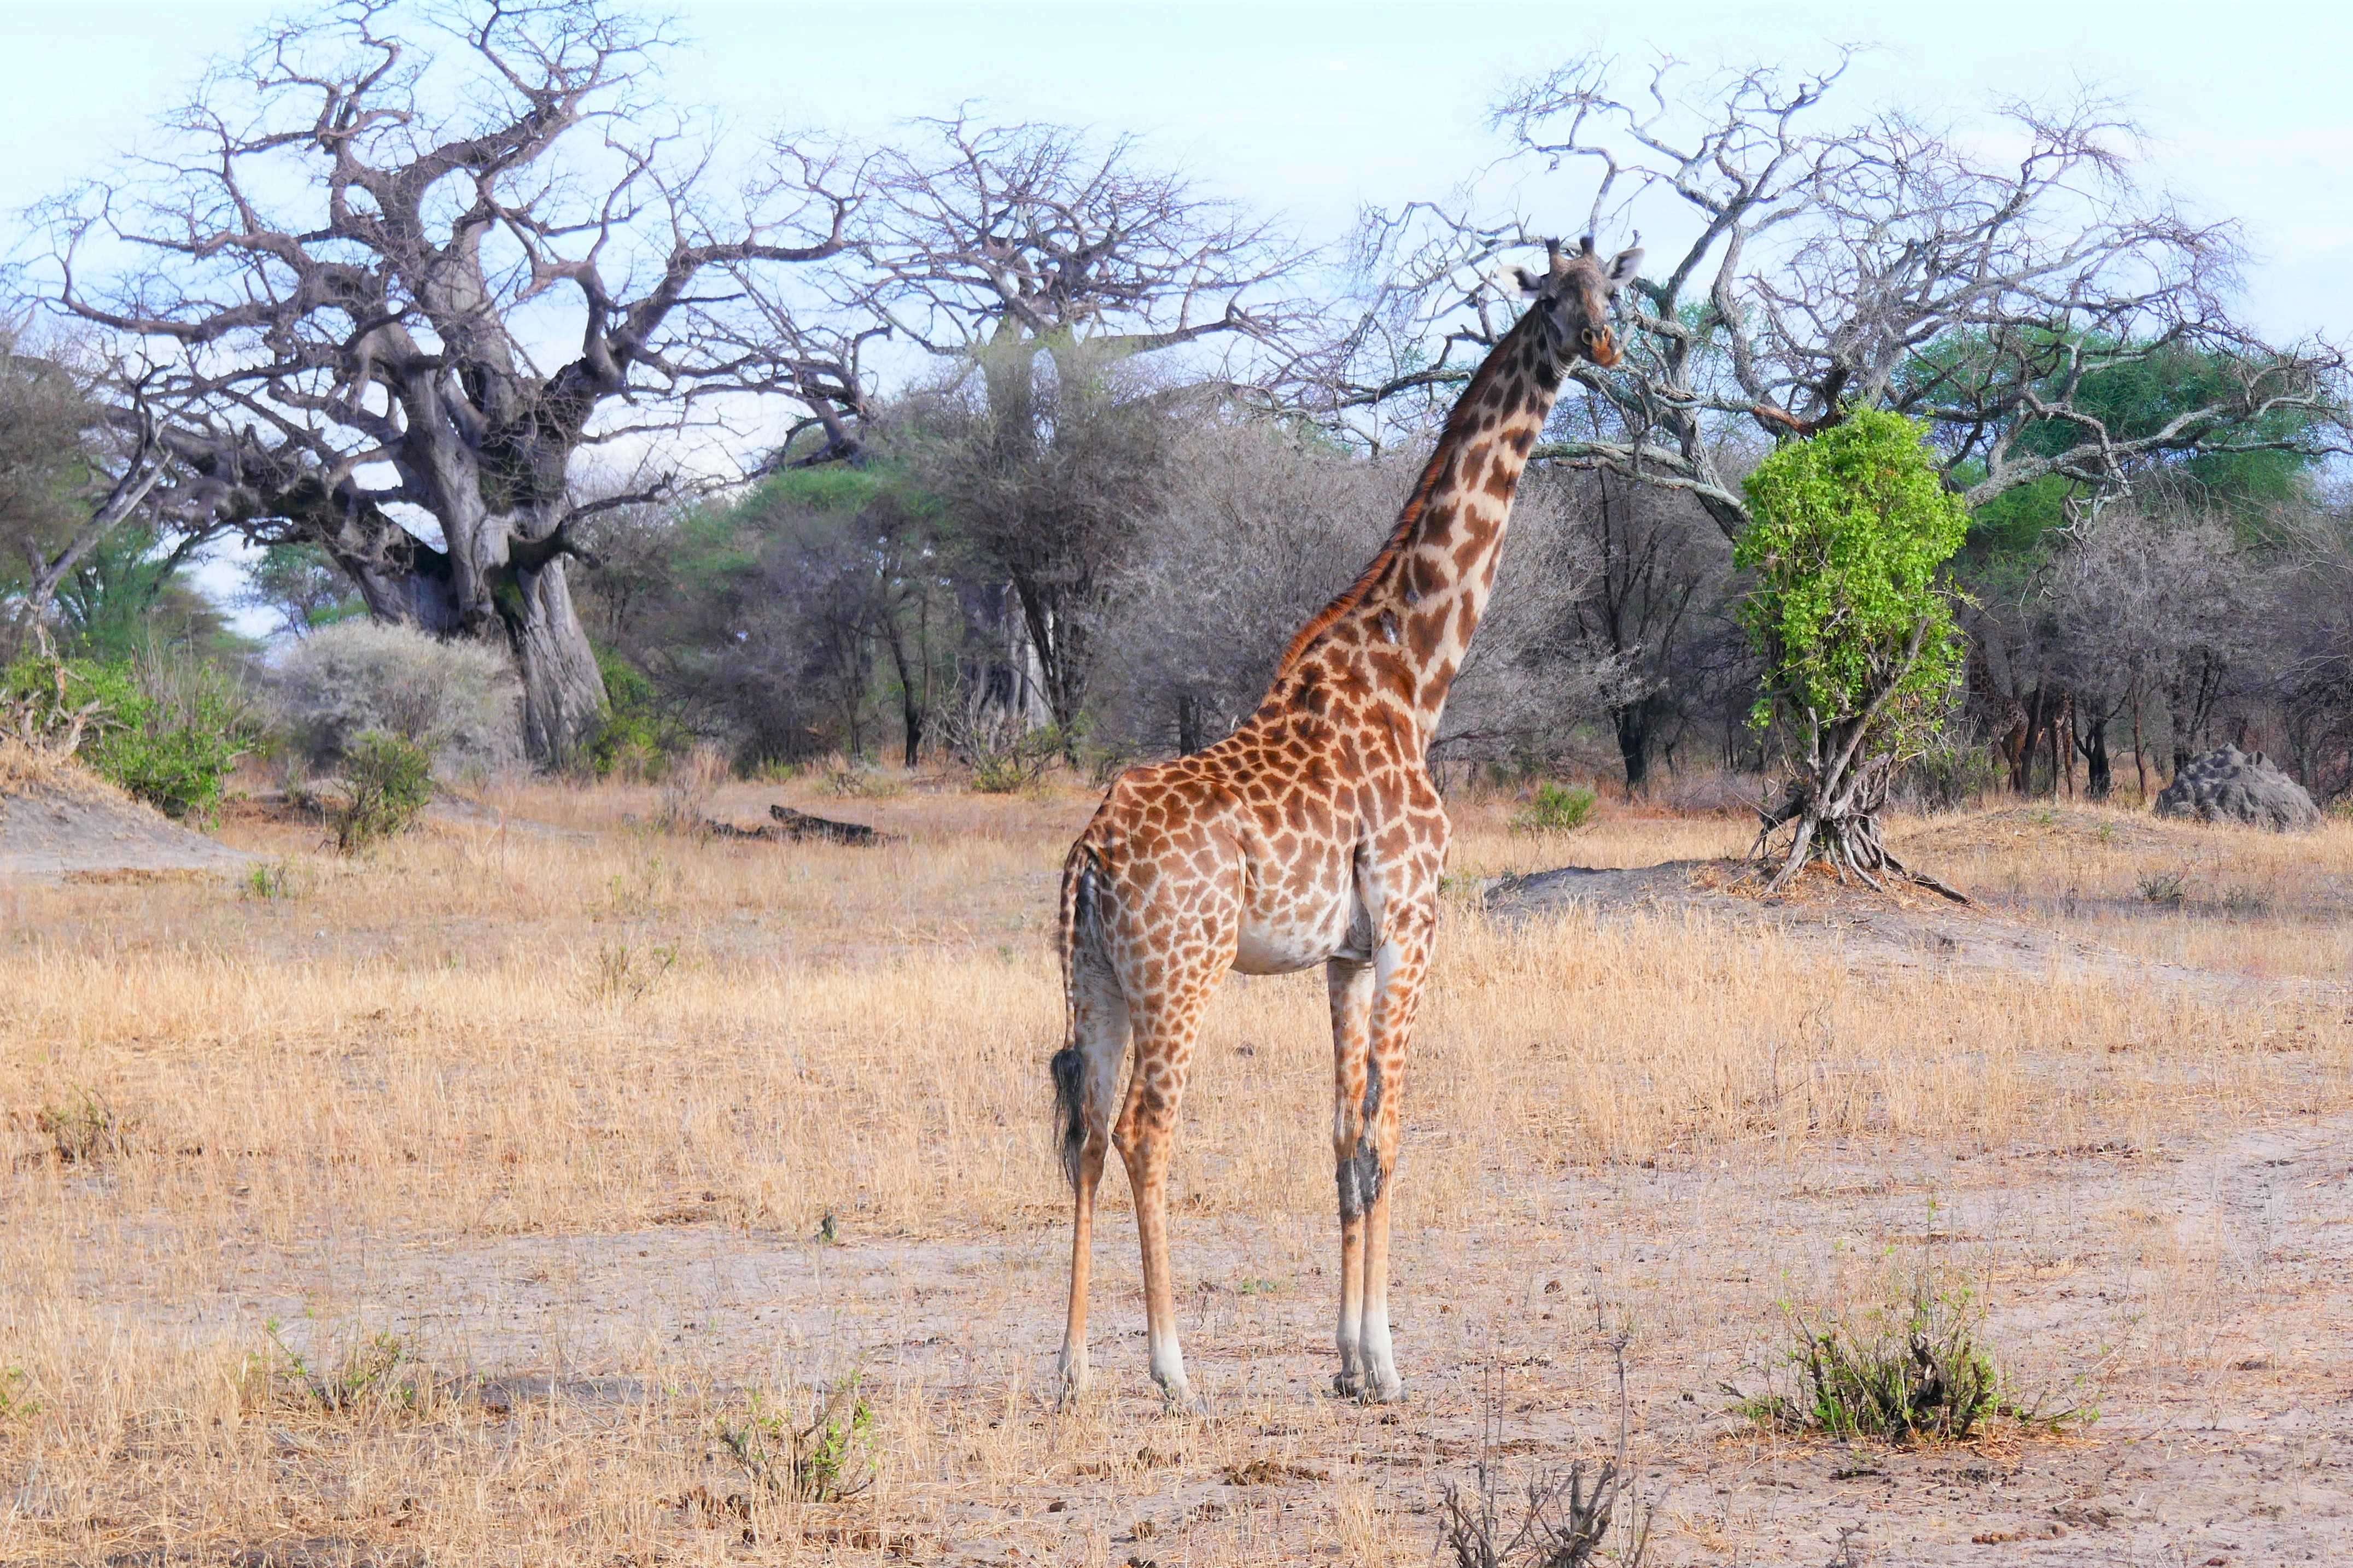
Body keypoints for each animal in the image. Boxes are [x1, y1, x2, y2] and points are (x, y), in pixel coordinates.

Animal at [1049, 232, 1637, 1410]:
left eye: (1617, 290)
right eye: (1556, 294)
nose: (1604, 345)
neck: (1416, 681)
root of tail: (1091, 850)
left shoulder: (1346, 953)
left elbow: (1340, 1141)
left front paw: (1347, 1361)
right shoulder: (1413, 925)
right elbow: (1389, 1131)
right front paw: (1388, 1363)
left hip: (1096, 975)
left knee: (1085, 1130)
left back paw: (1073, 1367)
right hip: (1183, 970)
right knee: (1145, 1129)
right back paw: (1172, 1370)